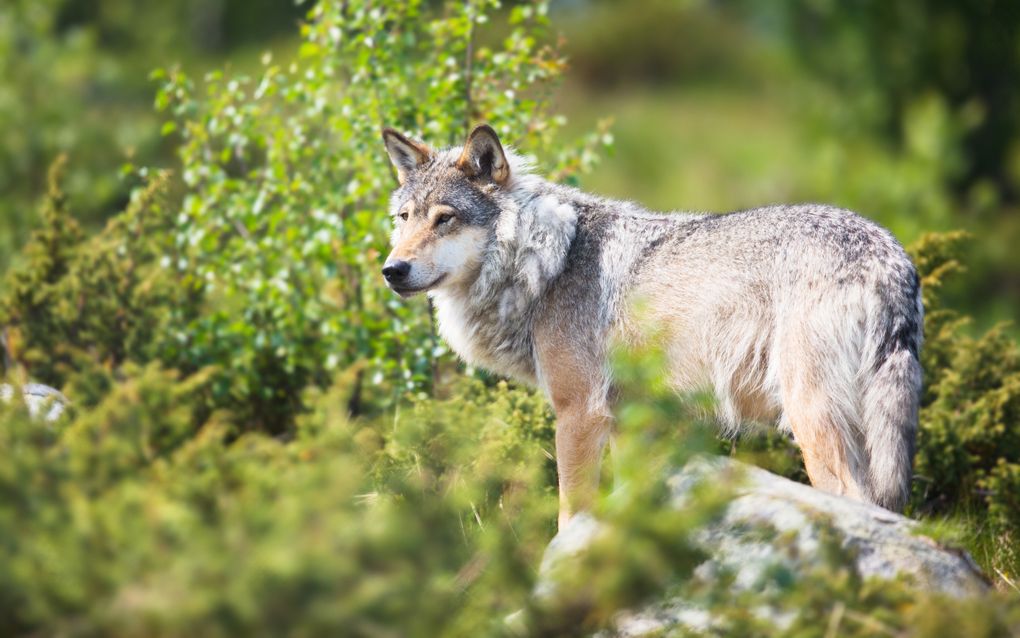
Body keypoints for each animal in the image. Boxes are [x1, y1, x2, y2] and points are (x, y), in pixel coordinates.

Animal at [381, 124, 926, 526]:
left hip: (810, 419)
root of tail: (889, 258)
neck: (545, 260)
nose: (392, 270)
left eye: (445, 219)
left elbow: (570, 513)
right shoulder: (631, 423)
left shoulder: (579, 414)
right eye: (404, 218)